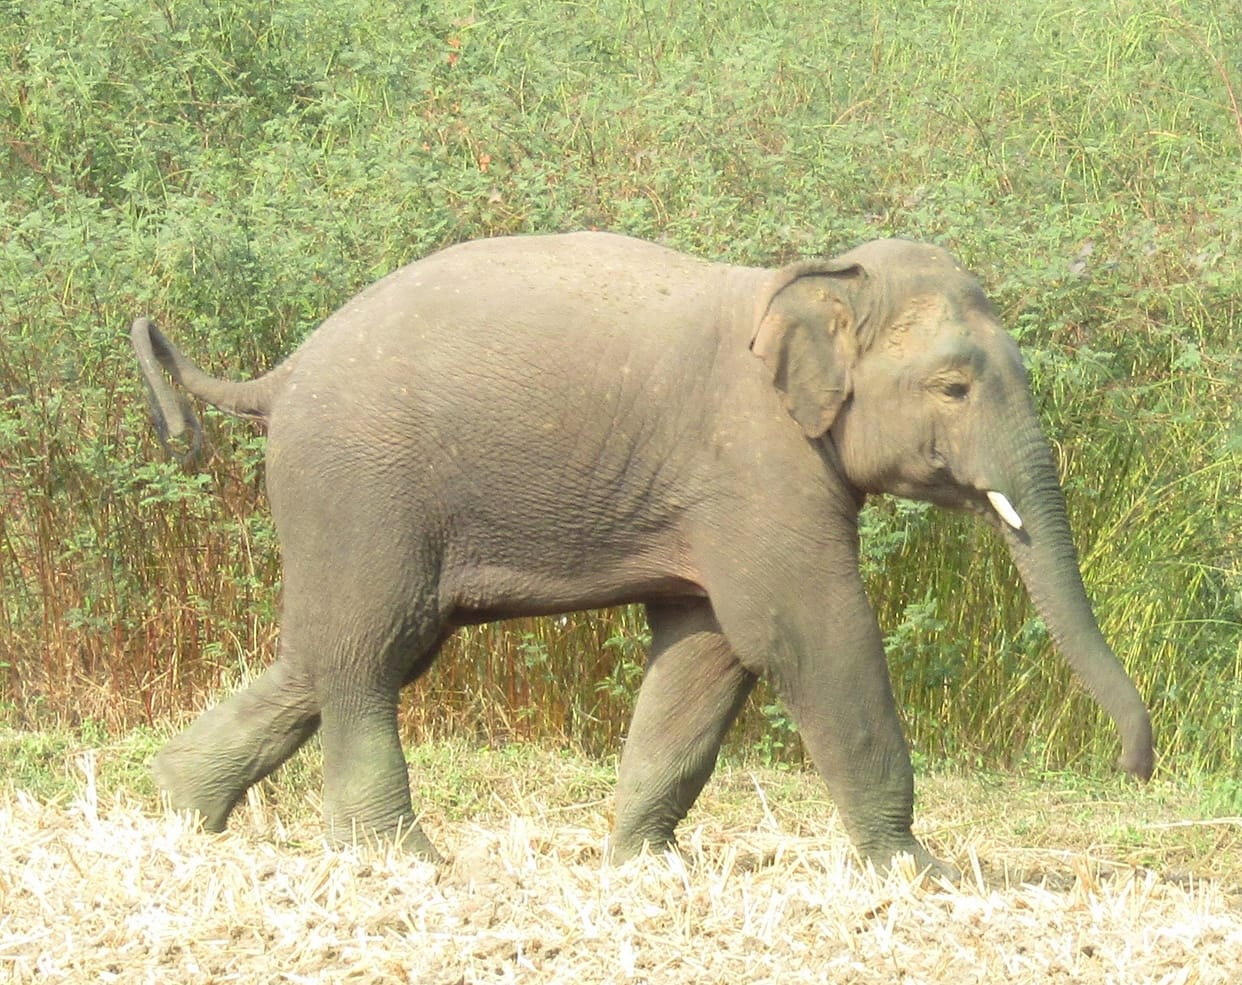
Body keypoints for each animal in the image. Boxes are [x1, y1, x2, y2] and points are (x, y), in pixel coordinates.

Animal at [131, 231, 1153, 875]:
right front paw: (919, 872)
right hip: (362, 485)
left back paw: (181, 809)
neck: (811, 278)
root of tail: (278, 376)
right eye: (952, 387)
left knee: (333, 652)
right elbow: (803, 632)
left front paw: (642, 866)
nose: (1131, 770)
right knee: (369, 651)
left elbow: (708, 650)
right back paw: (401, 857)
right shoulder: (755, 462)